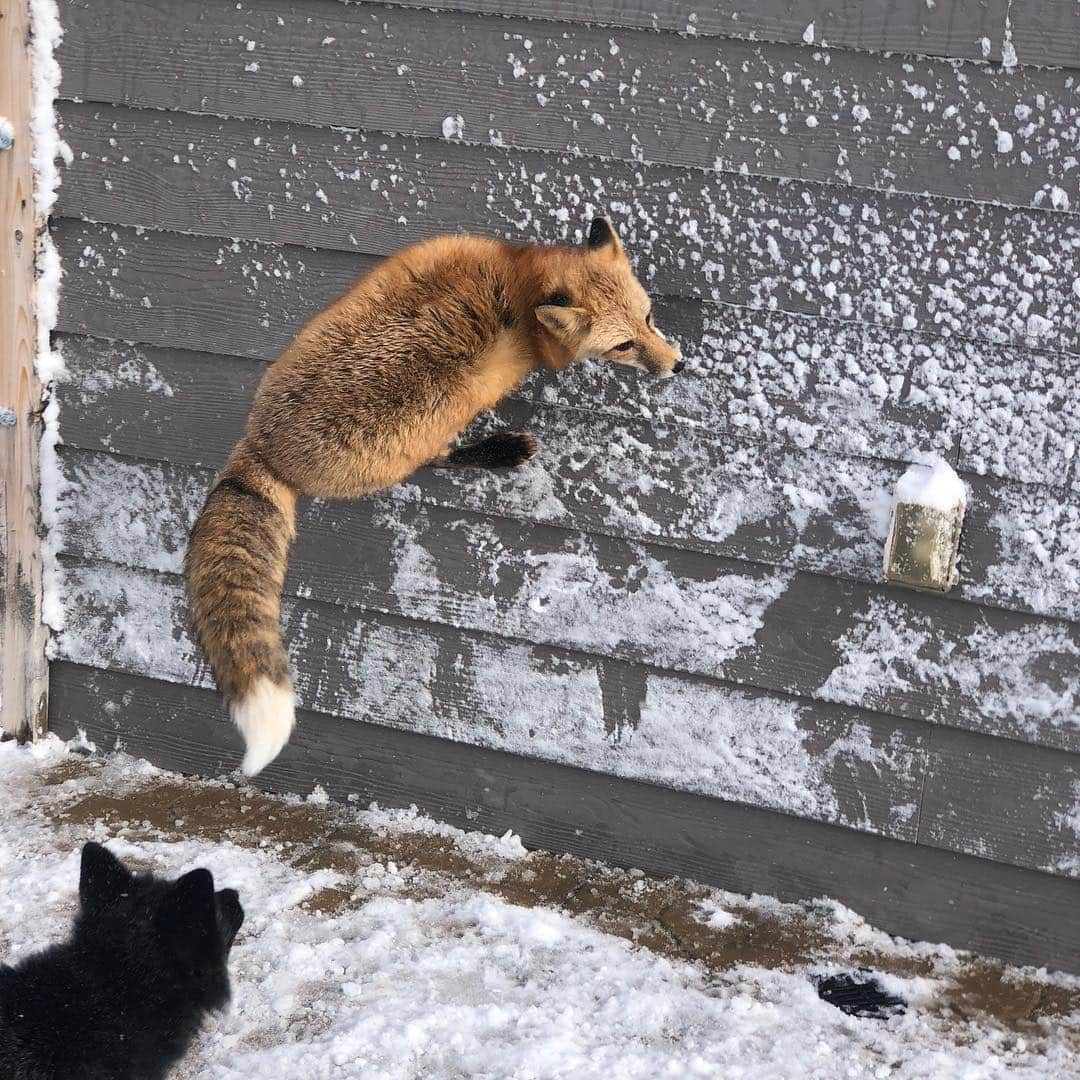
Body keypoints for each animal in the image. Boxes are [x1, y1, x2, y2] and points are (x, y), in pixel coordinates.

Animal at [182, 219, 678, 777]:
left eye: (649, 319)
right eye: (623, 346)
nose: (677, 367)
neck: (520, 282)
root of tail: (264, 447)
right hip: (422, 440)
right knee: (440, 461)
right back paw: (504, 451)